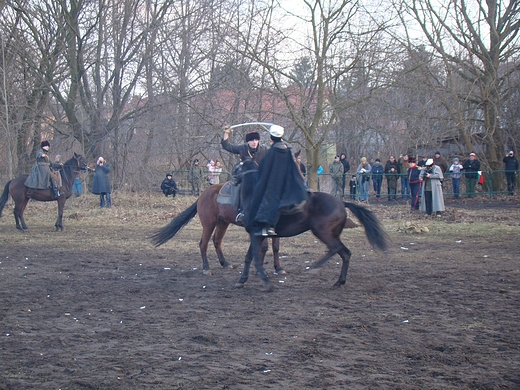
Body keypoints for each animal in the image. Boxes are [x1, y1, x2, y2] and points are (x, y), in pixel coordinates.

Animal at [149, 184, 284, 276]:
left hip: (223, 223)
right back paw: (206, 268)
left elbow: (275, 247)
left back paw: (225, 263)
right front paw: (261, 270)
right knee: (203, 244)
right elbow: (264, 247)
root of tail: (202, 195)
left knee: (217, 241)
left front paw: (278, 268)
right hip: (209, 224)